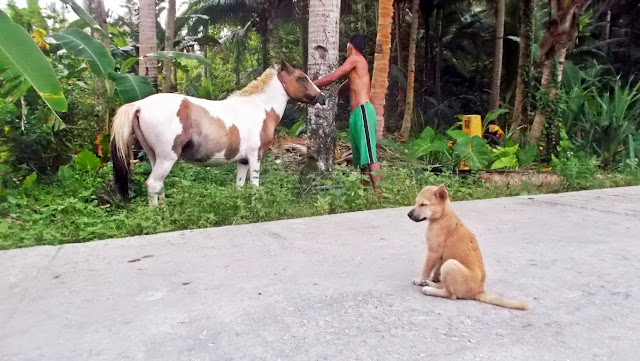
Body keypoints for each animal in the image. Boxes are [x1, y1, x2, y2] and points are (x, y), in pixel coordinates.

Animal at [109, 60, 324, 204]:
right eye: (302, 77)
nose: (322, 98)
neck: (259, 107)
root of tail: (139, 105)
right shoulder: (255, 156)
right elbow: (255, 186)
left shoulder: (242, 160)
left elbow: (239, 187)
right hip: (167, 158)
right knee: (153, 185)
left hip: (155, 157)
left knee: (158, 186)